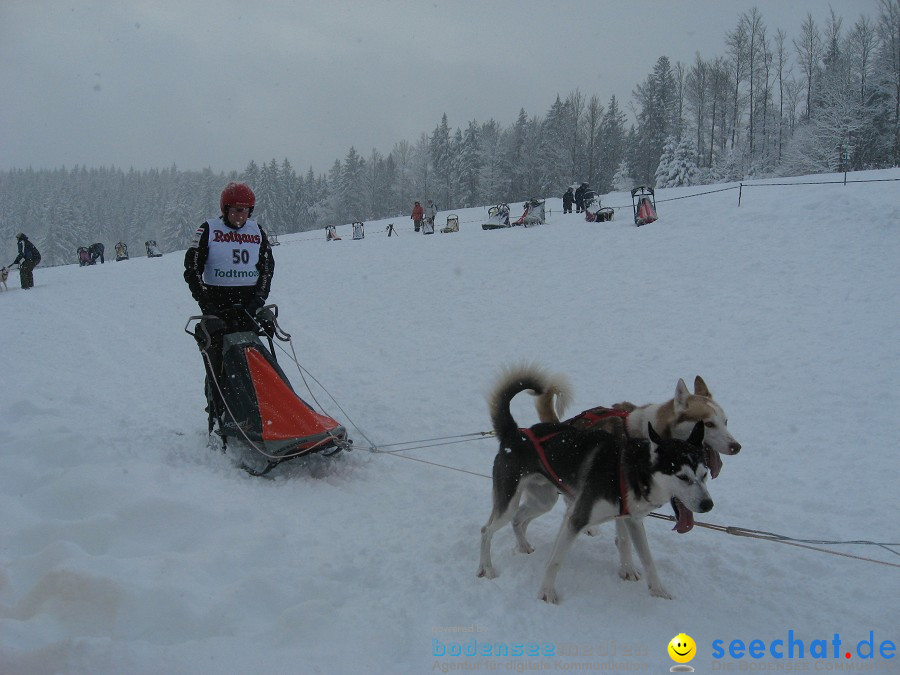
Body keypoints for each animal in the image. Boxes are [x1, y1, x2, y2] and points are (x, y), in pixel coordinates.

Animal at [478, 368, 716, 604]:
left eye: (704, 475)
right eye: (683, 477)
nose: (708, 505)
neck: (631, 471)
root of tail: (516, 433)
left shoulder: (632, 520)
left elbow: (647, 558)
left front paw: (658, 591)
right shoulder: (576, 518)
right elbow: (555, 560)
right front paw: (546, 593)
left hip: (544, 500)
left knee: (518, 520)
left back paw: (523, 546)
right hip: (509, 503)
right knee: (486, 530)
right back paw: (486, 568)